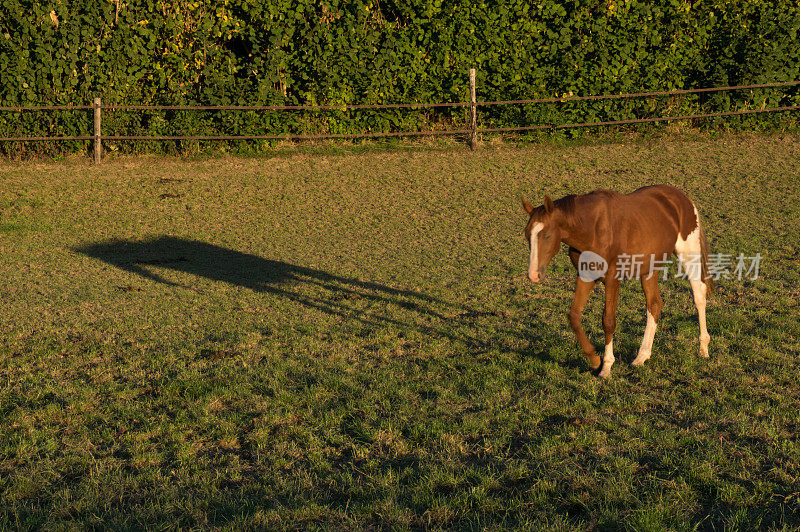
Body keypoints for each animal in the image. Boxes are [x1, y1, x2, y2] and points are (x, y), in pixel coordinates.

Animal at [520, 185, 716, 376]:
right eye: (527, 235)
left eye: (546, 235)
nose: (533, 274)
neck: (592, 228)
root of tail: (682, 198)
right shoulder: (585, 276)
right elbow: (574, 316)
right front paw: (594, 359)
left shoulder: (612, 279)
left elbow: (608, 321)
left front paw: (606, 366)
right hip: (648, 269)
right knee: (654, 304)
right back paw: (641, 356)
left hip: (688, 255)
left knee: (698, 295)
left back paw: (703, 348)